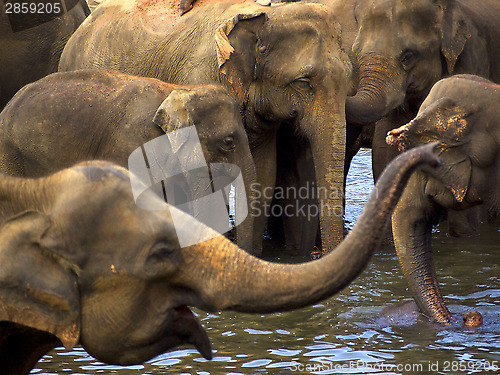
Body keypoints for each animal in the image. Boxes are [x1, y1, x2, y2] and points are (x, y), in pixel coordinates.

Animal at [58, 0, 354, 258]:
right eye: (304, 82)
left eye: (349, 80)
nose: (316, 256)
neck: (264, 16)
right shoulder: (199, 79)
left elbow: (264, 174)